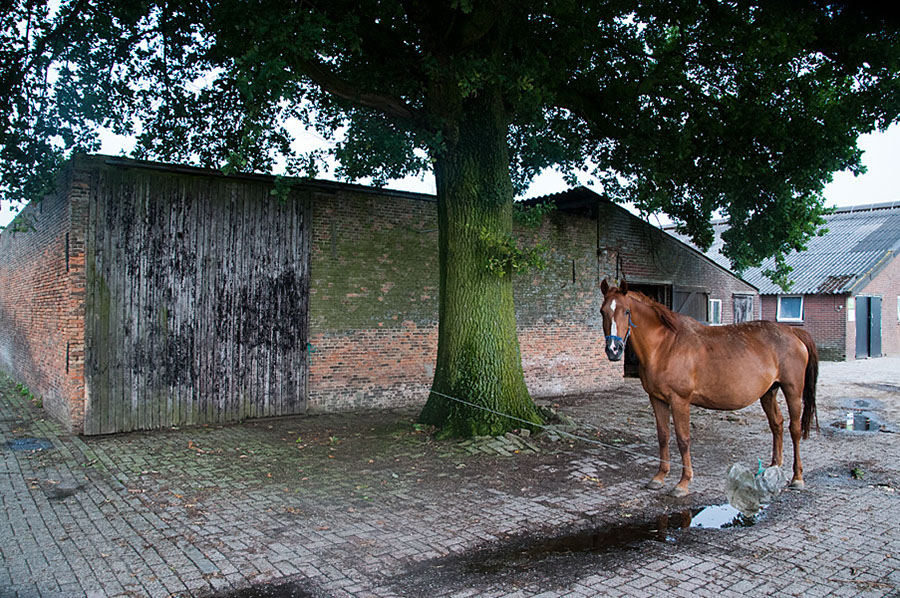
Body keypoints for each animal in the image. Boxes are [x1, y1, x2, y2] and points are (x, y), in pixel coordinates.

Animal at [600, 278, 820, 500]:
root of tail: (793, 332)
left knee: (794, 429)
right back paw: (773, 468)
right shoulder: (657, 399)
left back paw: (797, 478)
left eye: (627, 311)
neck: (665, 346)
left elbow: (683, 439)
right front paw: (659, 477)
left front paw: (683, 483)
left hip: (792, 391)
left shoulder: (679, 401)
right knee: (777, 425)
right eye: (602, 311)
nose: (613, 350)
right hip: (768, 392)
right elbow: (663, 436)